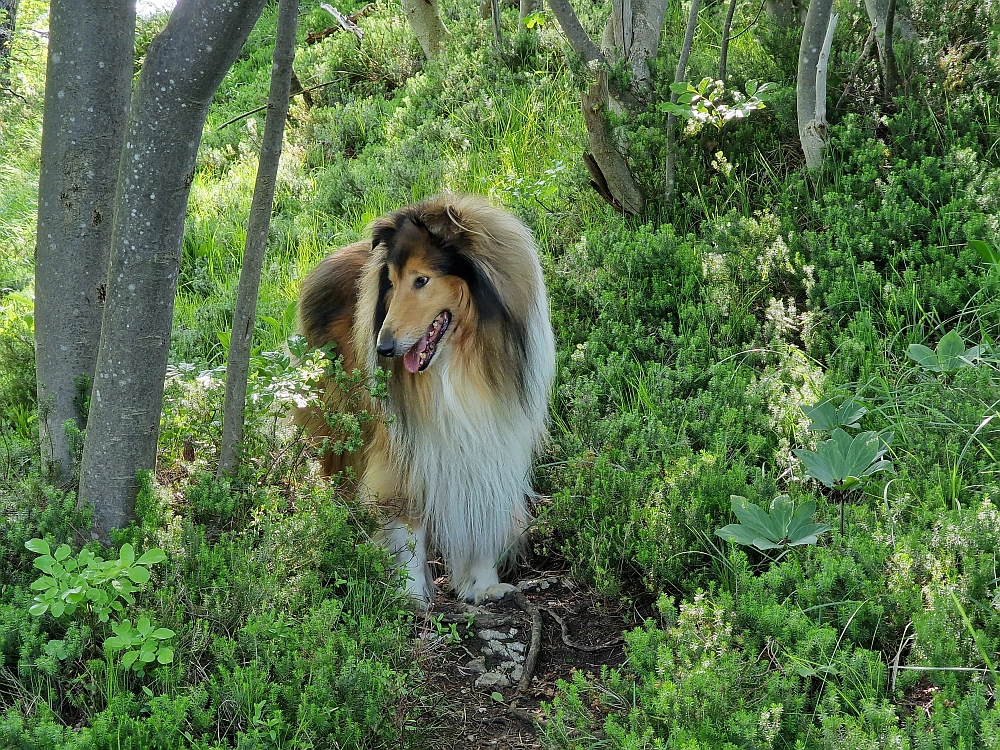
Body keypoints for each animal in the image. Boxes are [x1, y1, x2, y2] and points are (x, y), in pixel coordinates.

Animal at [296, 197, 560, 608]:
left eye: (422, 280)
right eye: (391, 281)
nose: (383, 348)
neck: (457, 362)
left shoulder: (491, 443)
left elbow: (481, 513)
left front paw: (482, 585)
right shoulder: (405, 450)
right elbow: (408, 525)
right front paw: (412, 596)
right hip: (341, 425)